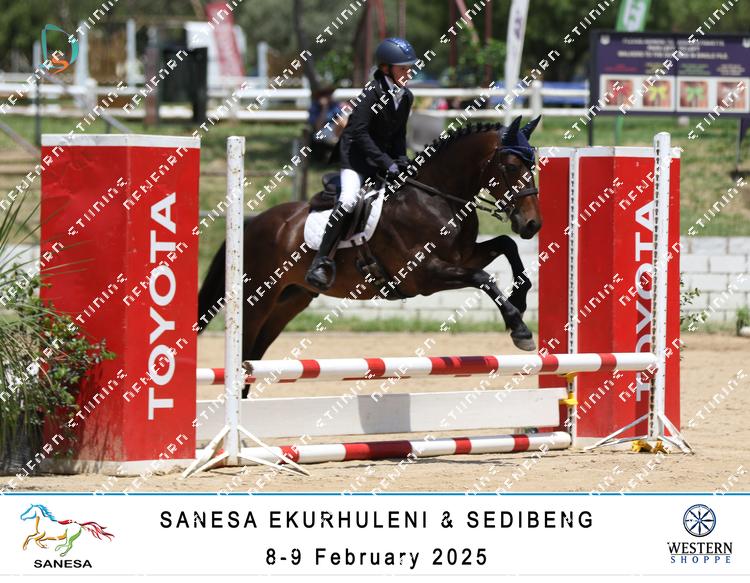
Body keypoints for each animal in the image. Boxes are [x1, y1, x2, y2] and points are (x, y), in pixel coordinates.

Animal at [197, 116, 543, 391]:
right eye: (512, 166)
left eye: (533, 165)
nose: (532, 224)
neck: (436, 198)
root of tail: (253, 223)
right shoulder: (425, 275)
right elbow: (484, 277)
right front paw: (520, 329)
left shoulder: (464, 256)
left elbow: (506, 246)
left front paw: (521, 298)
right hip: (257, 300)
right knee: (244, 355)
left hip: (290, 301)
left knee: (254, 357)